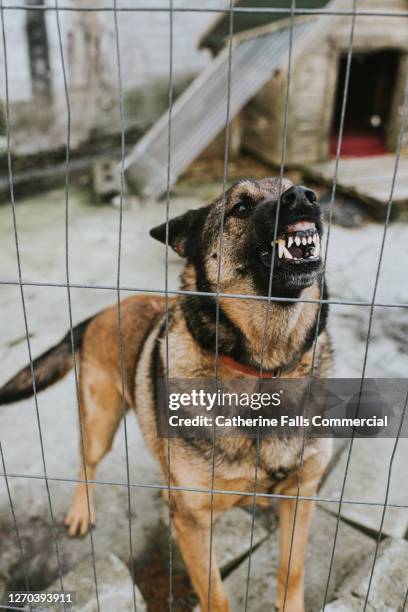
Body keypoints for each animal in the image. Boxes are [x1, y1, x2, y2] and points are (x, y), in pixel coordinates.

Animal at [0, 176, 332, 608]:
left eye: (294, 187)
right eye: (240, 208)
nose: (304, 197)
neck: (266, 368)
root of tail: (99, 315)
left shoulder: (300, 496)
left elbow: (292, 572)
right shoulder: (194, 524)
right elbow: (214, 594)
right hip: (101, 422)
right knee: (87, 461)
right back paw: (81, 510)